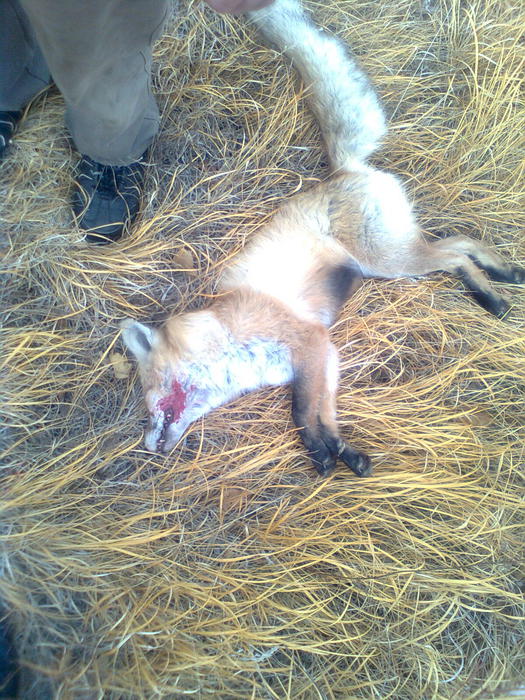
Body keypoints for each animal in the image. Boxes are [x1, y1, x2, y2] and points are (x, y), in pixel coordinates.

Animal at [121, 0, 524, 477]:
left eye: (148, 394)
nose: (149, 447)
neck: (228, 335)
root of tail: (346, 169)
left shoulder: (309, 341)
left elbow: (299, 411)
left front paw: (318, 452)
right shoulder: (323, 356)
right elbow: (323, 411)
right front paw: (341, 450)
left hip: (389, 261)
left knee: (457, 252)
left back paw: (493, 295)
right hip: (393, 258)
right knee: (461, 245)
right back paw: (502, 276)